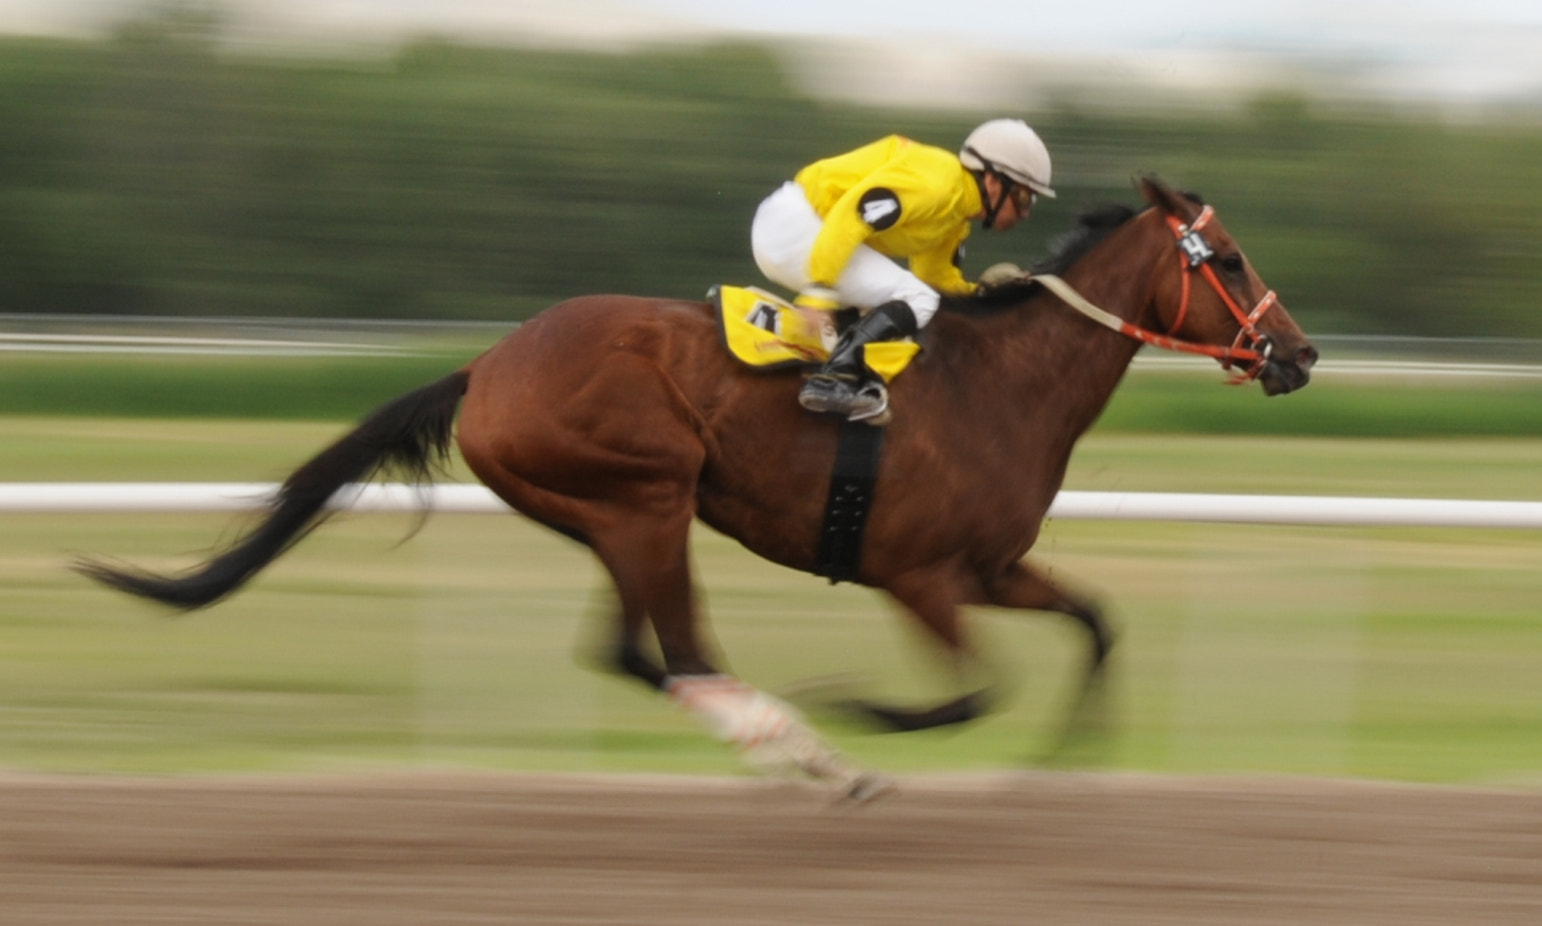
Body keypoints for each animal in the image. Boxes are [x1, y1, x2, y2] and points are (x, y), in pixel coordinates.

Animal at [79, 176, 1317, 800]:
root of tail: (487, 363)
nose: (1298, 355)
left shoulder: (991, 566)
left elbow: (1097, 623)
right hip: (646, 494)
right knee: (672, 647)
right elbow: (970, 693)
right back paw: (815, 750)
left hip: (614, 513)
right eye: (1232, 260)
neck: (1001, 385)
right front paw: (861, 707)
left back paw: (793, 746)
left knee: (640, 651)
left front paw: (1063, 769)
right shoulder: (917, 572)